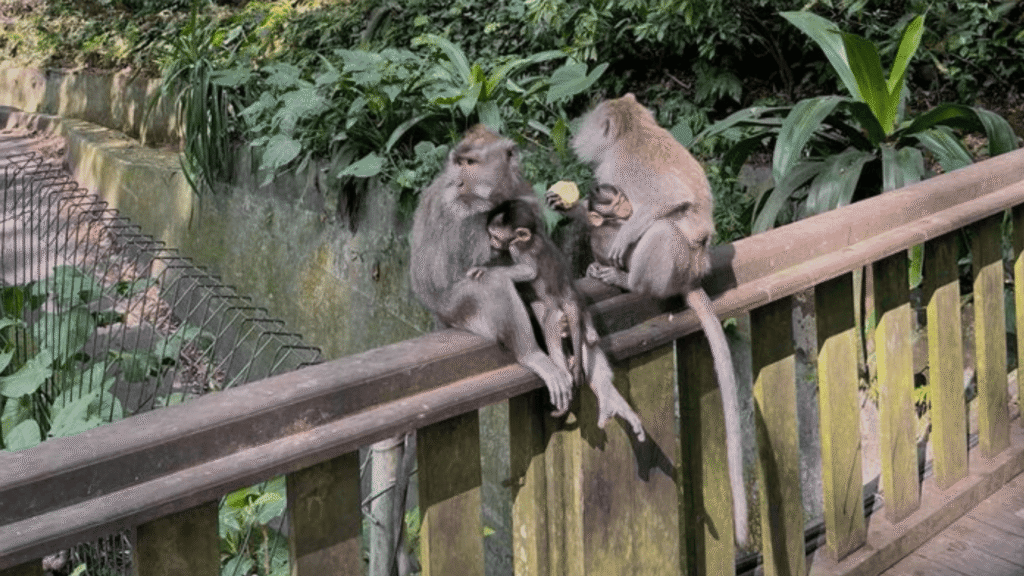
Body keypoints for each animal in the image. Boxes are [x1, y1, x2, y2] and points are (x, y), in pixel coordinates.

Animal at [410, 124, 573, 415]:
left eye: (471, 163)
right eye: (459, 162)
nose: (458, 182)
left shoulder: (525, 195)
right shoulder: (457, 210)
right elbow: (458, 266)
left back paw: (553, 328)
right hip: (452, 307)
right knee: (491, 283)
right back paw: (532, 354)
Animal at [469, 199, 646, 440]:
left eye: (496, 236)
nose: (492, 242)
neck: (531, 237)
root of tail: (567, 297)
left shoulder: (517, 248)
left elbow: (528, 271)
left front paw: (486, 269)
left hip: (557, 309)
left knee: (550, 323)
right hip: (575, 303)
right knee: (583, 327)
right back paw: (587, 335)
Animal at [551, 93, 749, 547]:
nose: (578, 131)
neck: (634, 129)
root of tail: (694, 275)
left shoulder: (618, 167)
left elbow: (664, 201)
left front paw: (617, 228)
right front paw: (569, 207)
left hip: (675, 264)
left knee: (661, 232)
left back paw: (627, 279)